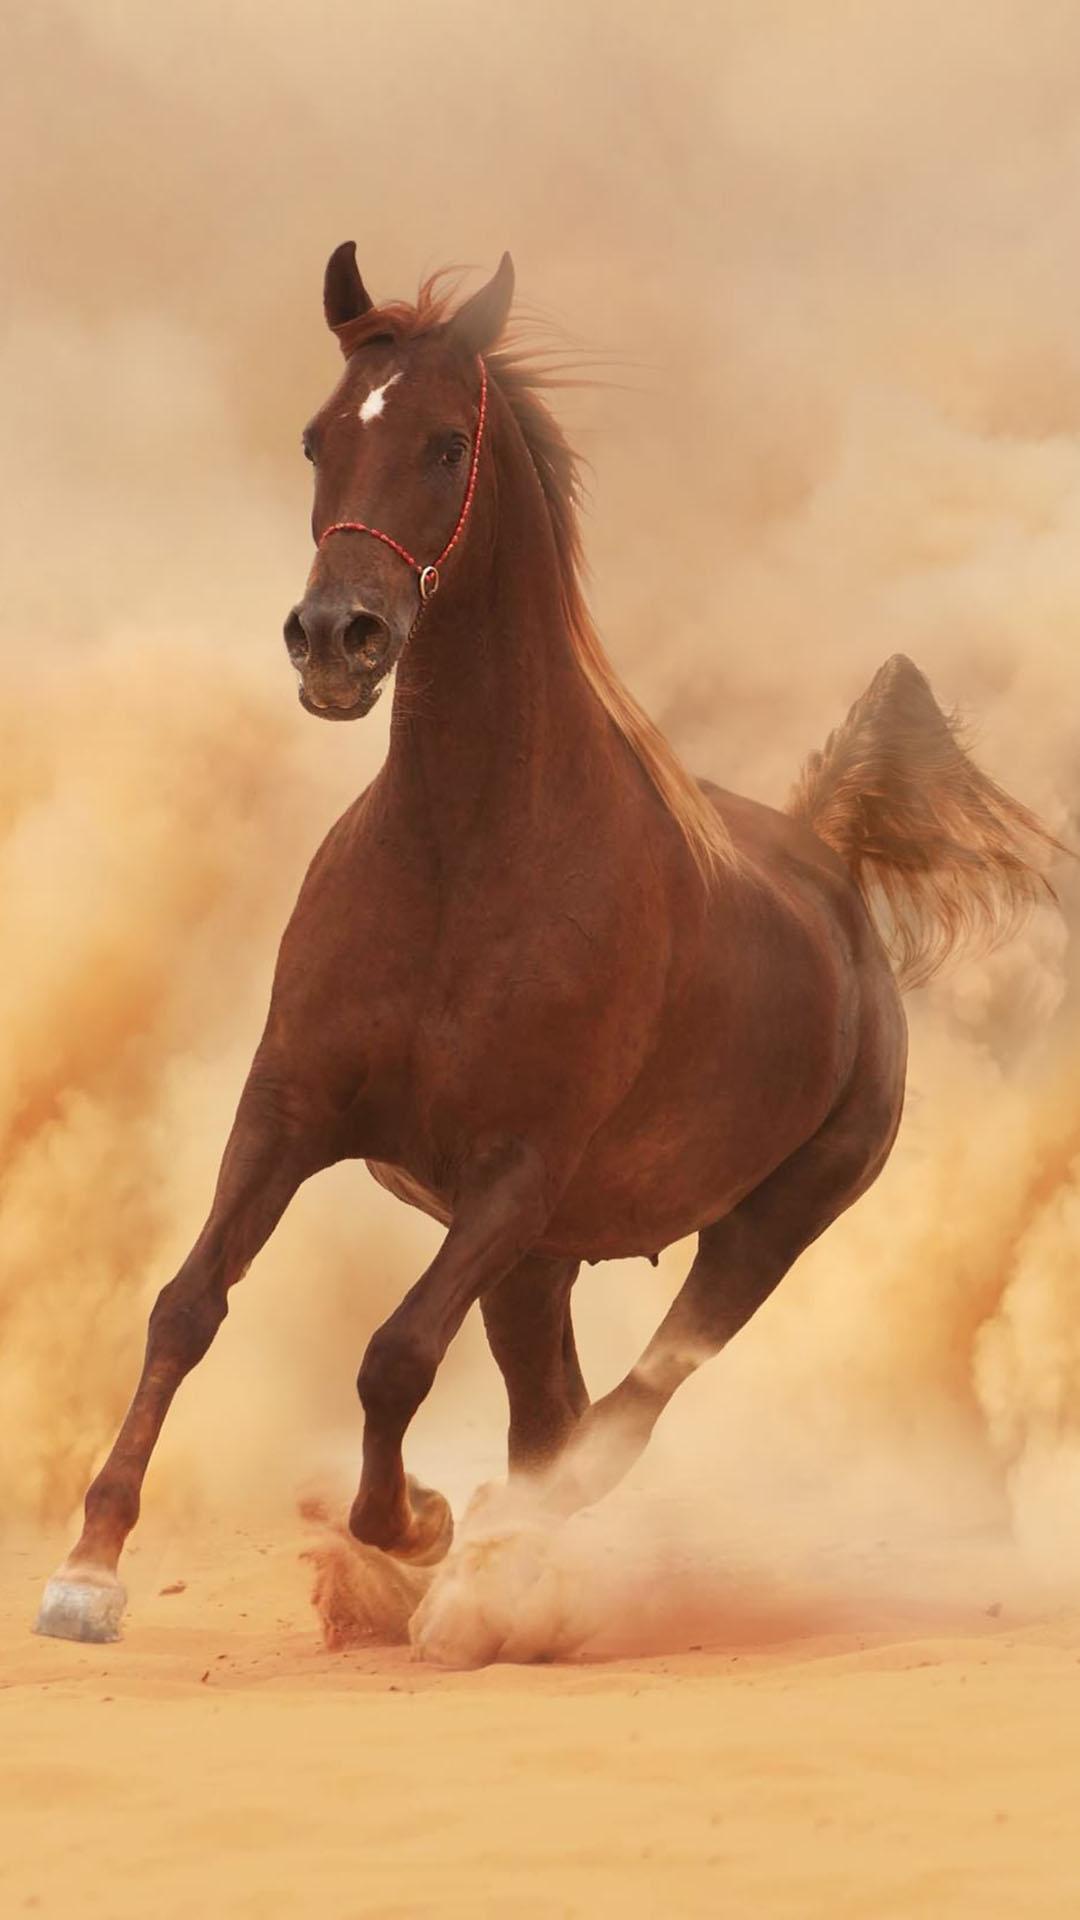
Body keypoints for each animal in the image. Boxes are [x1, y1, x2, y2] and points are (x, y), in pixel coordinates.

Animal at [37, 246, 1059, 1651]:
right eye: (317, 437)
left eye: (446, 444)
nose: (336, 640)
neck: (461, 858)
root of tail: (828, 859)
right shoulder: (290, 1110)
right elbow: (187, 1305)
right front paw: (89, 1569)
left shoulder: (514, 1171)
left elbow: (395, 1354)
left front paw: (415, 1522)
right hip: (545, 1264)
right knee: (554, 1409)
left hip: (761, 1229)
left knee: (620, 1420)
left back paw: (493, 1564)